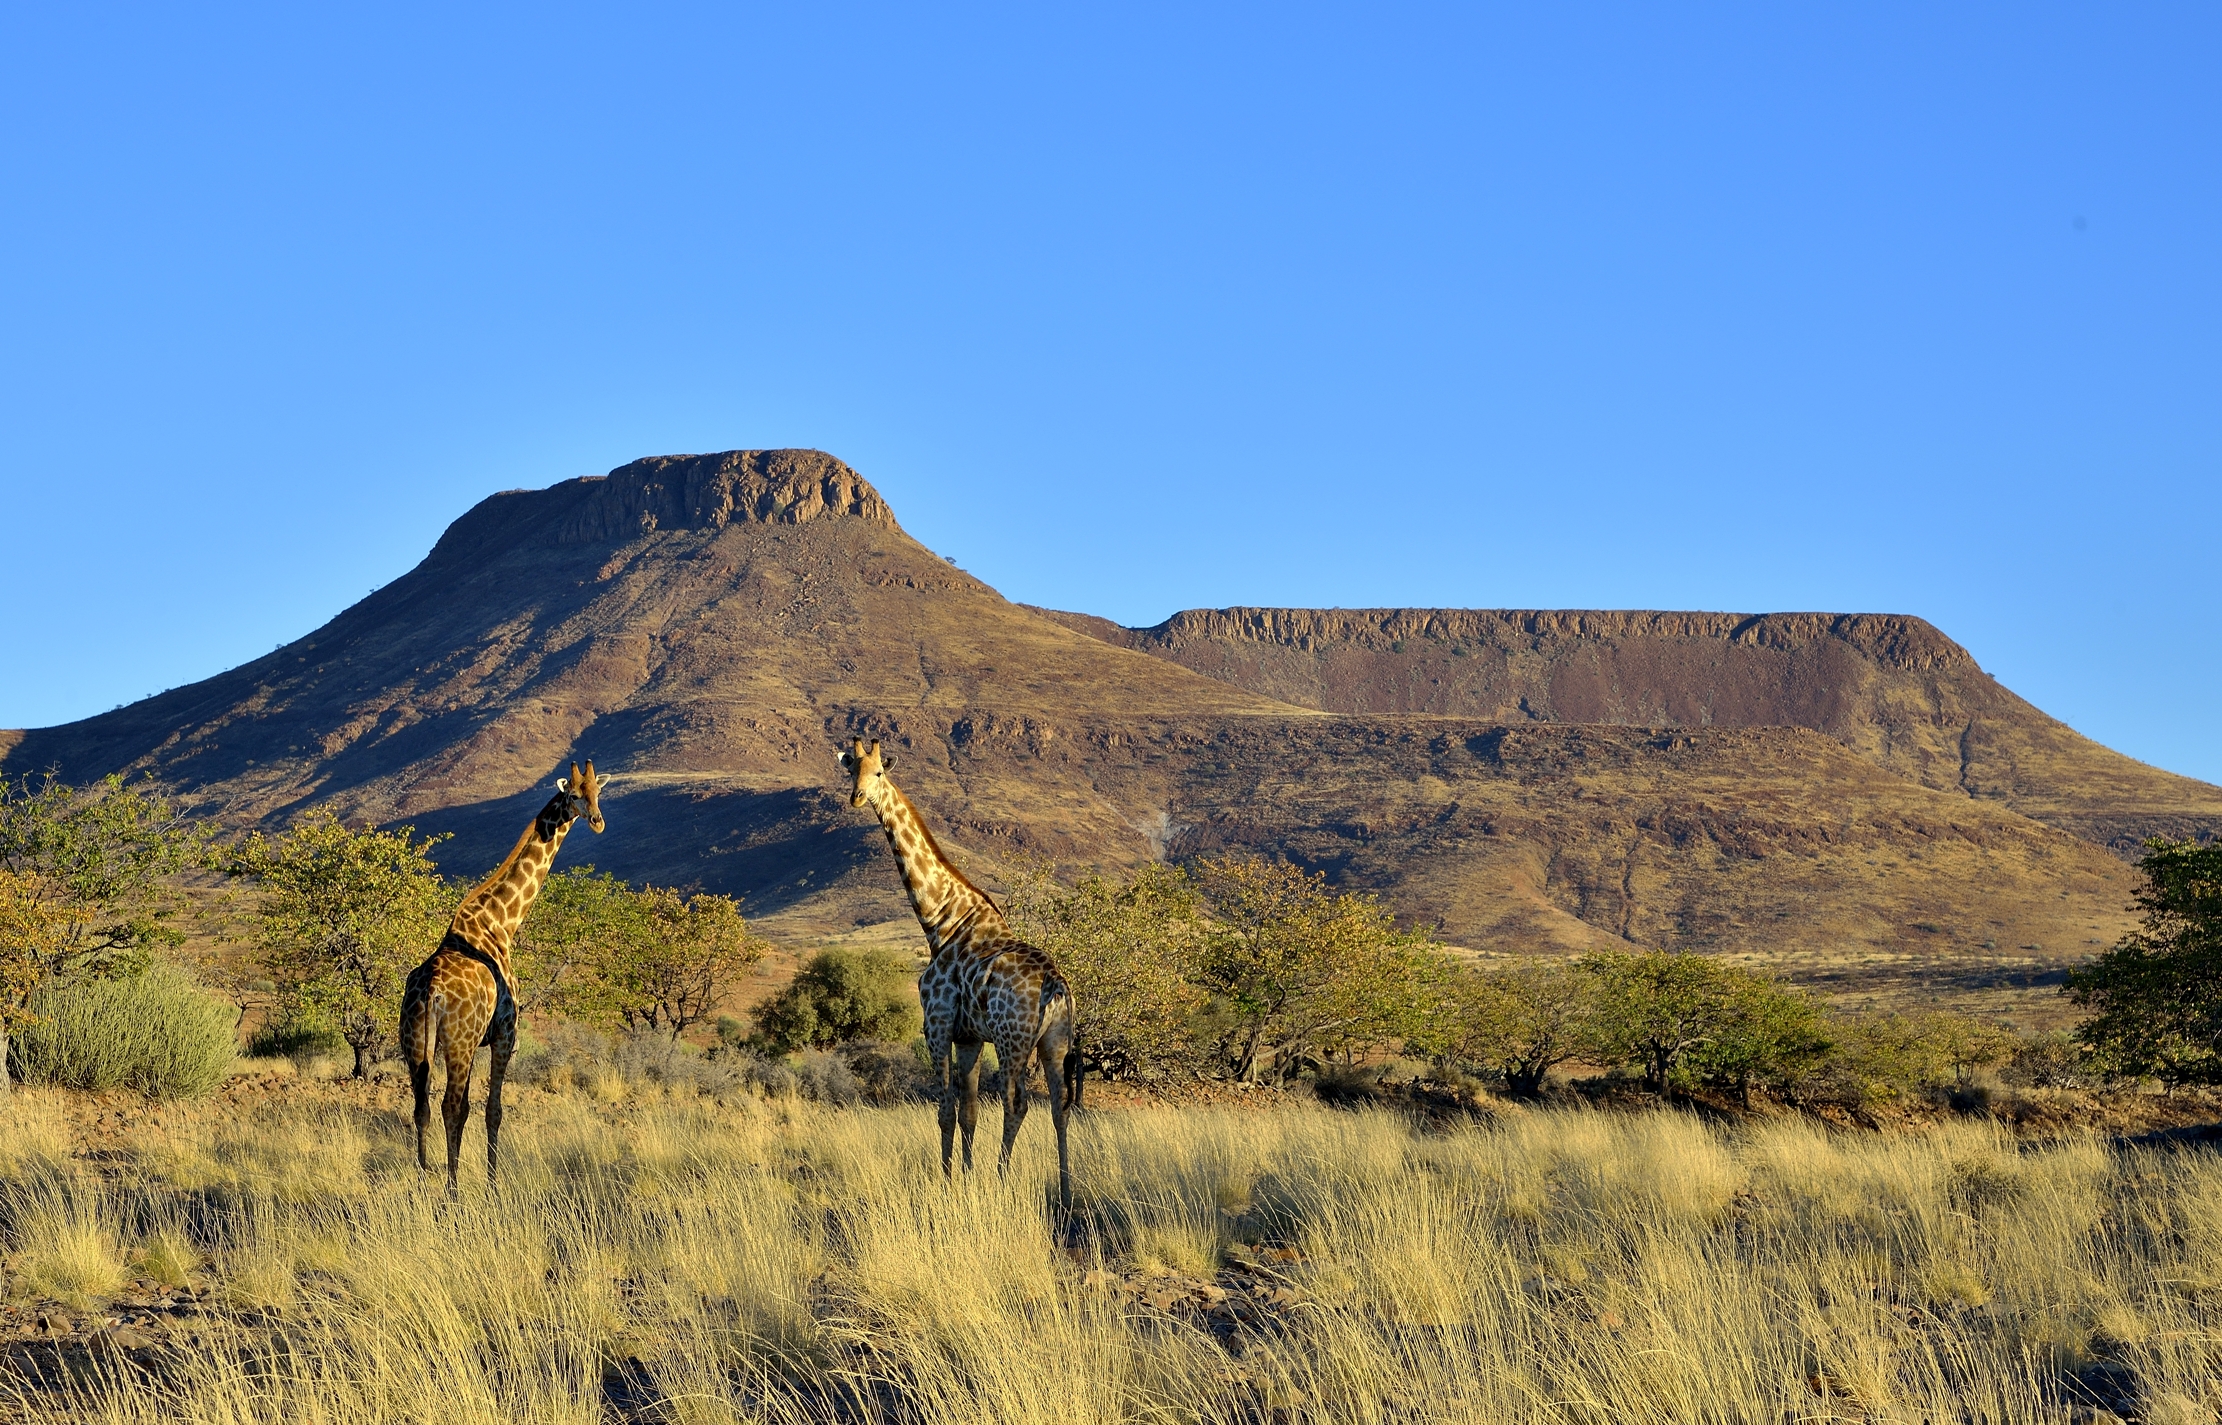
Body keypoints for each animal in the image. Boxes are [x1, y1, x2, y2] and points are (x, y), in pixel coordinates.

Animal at [400, 760, 604, 1190]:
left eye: (598, 791)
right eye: (573, 794)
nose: (597, 821)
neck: (501, 923)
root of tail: (430, 992)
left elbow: (473, 1108)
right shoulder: (505, 1033)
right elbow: (493, 1109)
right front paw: (493, 1183)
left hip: (414, 1042)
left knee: (421, 1106)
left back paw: (424, 1178)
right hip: (458, 1043)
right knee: (449, 1105)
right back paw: (453, 1189)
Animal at [840, 737, 1079, 1212]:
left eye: (879, 773)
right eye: (851, 768)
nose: (856, 798)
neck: (940, 920)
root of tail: (1054, 984)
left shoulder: (936, 1024)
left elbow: (945, 1110)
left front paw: (948, 1182)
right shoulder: (969, 1036)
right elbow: (969, 1112)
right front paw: (966, 1180)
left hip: (1012, 1038)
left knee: (1016, 1104)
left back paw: (1004, 1181)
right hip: (1054, 1042)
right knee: (1059, 1106)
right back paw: (1065, 1193)